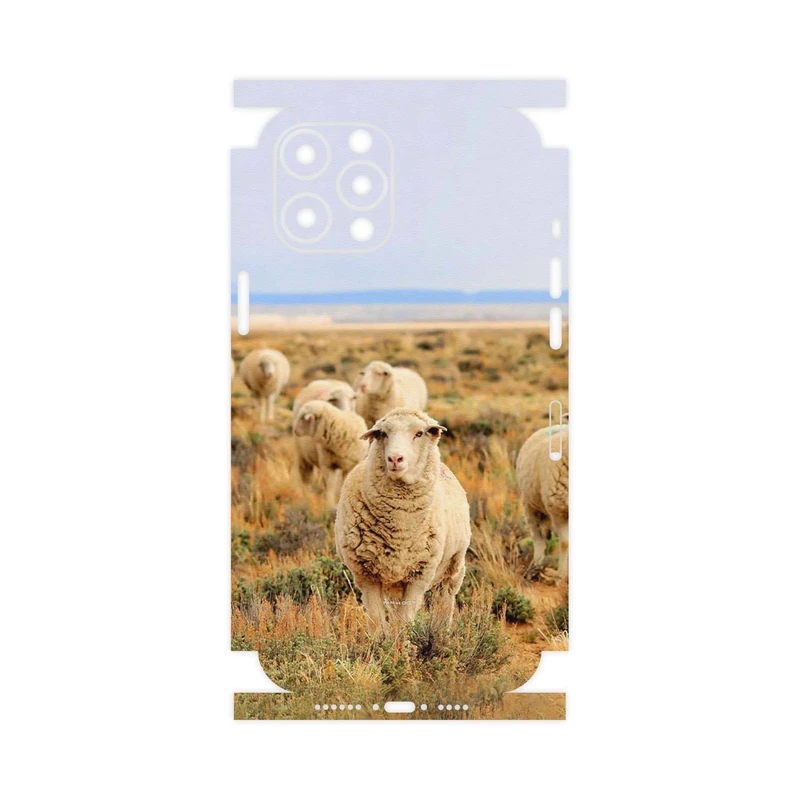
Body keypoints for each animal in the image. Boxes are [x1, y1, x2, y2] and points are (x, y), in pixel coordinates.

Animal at [335, 408, 471, 634]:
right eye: (383, 434)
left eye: (419, 433)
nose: (395, 458)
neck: (400, 528)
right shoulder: (366, 575)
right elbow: (377, 622)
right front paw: (382, 642)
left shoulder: (419, 575)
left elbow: (405, 622)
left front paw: (403, 642)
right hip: (394, 582)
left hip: (453, 566)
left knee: (444, 600)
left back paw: (440, 633)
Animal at [516, 423, 569, 580]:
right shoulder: (558, 510)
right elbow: (565, 543)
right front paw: (561, 576)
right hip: (531, 506)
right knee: (538, 536)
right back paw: (536, 566)